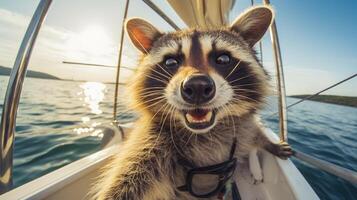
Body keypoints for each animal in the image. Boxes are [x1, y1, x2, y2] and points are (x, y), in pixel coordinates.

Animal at [91, 5, 292, 199]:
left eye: (223, 58)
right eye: (171, 62)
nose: (197, 87)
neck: (205, 132)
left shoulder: (243, 127)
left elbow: (252, 132)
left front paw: (267, 143)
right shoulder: (151, 143)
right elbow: (128, 178)